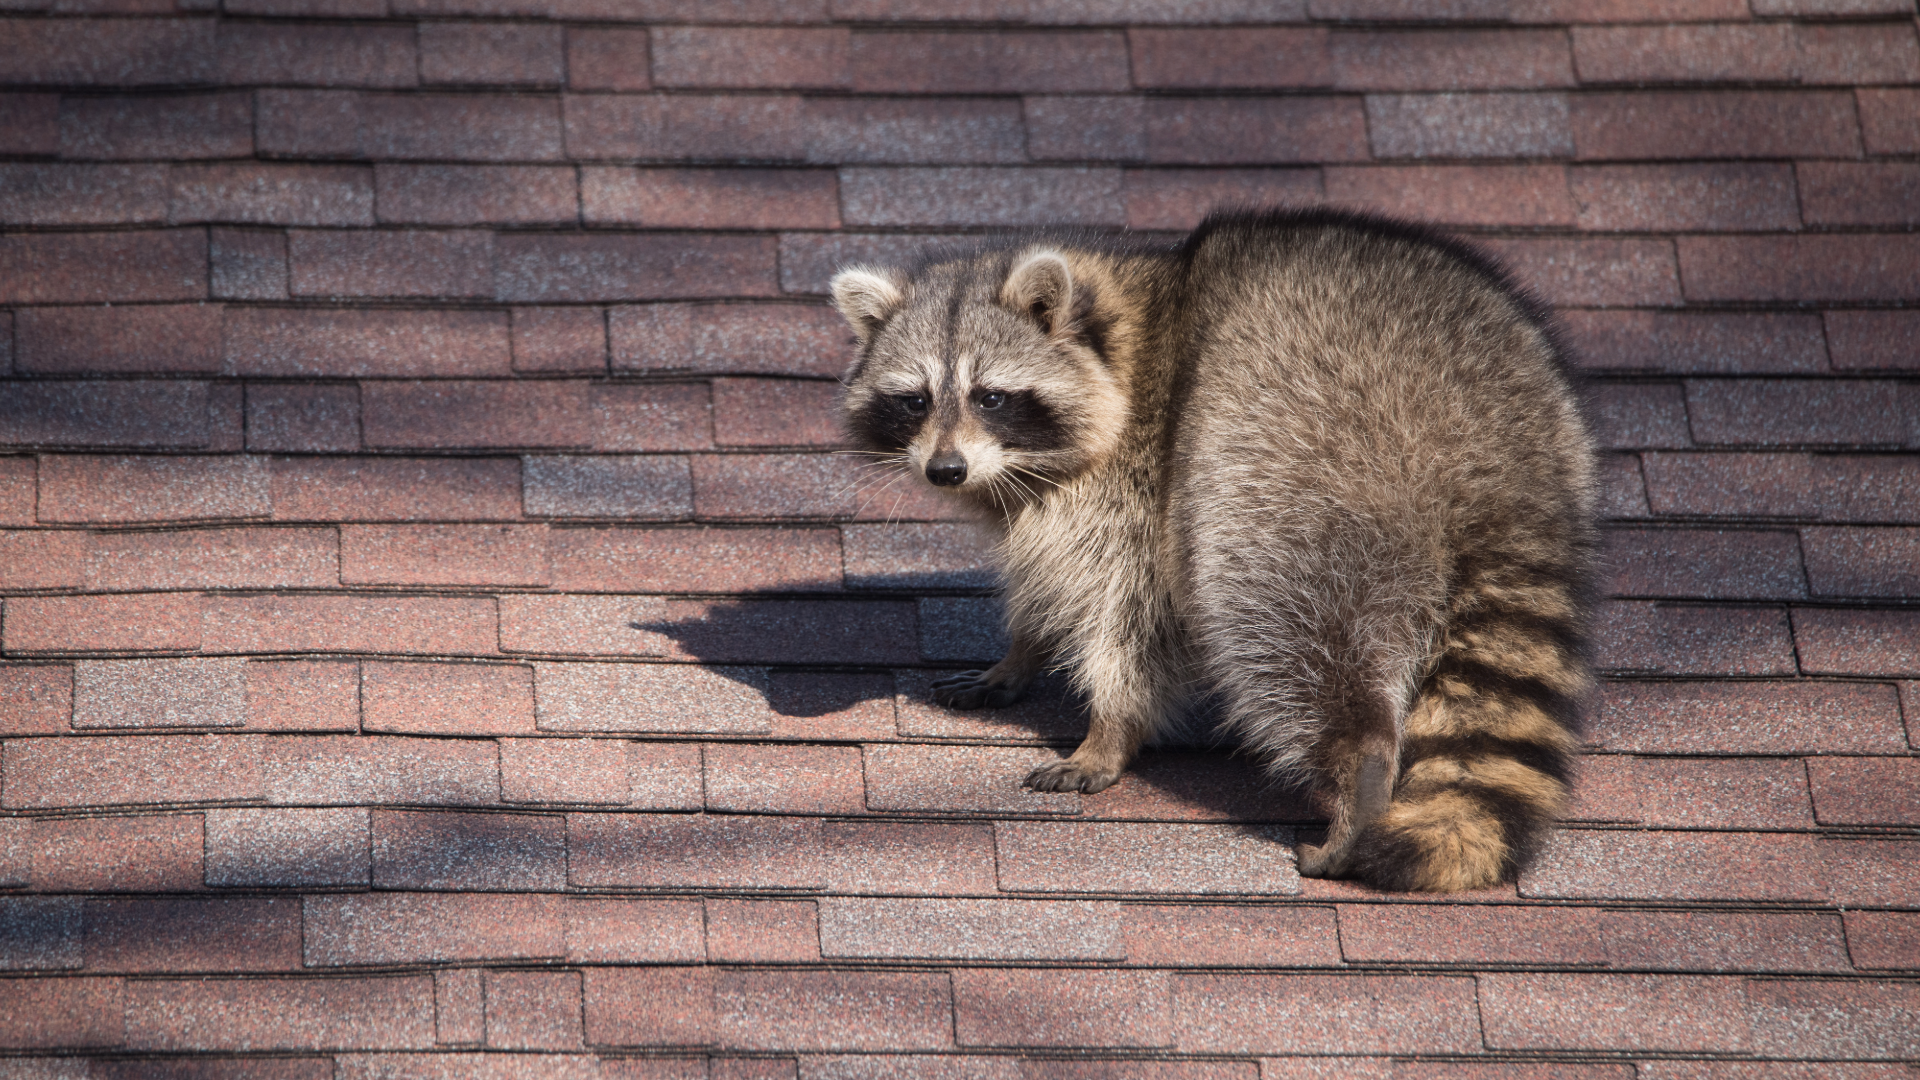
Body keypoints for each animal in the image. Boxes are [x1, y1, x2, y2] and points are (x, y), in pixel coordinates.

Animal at [831, 208, 1596, 892]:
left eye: (990, 397)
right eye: (915, 400)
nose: (945, 470)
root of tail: (1491, 443)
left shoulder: (1141, 485)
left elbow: (1134, 615)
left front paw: (1110, 728)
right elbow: (1045, 578)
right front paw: (1022, 652)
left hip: (1297, 458)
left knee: (1278, 613)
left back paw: (1361, 766)